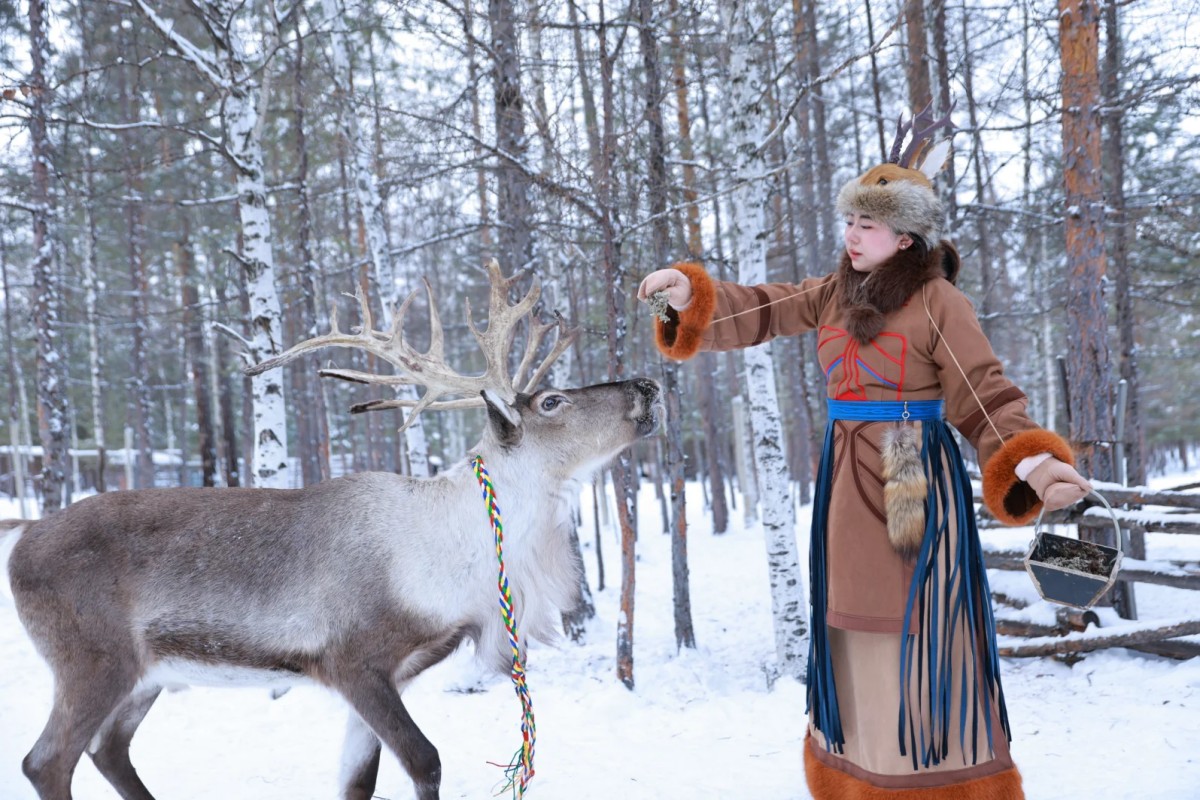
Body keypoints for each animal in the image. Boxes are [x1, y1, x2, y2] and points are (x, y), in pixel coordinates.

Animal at [1, 260, 662, 800]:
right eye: (552, 401)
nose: (649, 384)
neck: (469, 555)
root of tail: (23, 534)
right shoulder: (352, 660)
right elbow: (425, 762)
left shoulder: (398, 672)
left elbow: (357, 780)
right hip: (92, 660)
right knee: (47, 761)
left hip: (148, 675)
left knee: (109, 750)